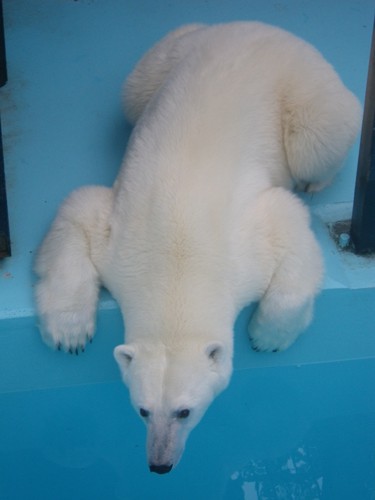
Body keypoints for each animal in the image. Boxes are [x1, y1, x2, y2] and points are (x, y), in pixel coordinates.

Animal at [34, 22, 362, 472]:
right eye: (142, 409)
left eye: (185, 411)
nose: (159, 464)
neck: (178, 257)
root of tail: (260, 27)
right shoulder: (122, 237)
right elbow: (79, 211)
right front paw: (70, 333)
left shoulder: (246, 243)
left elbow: (287, 223)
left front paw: (267, 336)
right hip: (171, 57)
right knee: (134, 95)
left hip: (303, 89)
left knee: (316, 140)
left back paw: (315, 180)